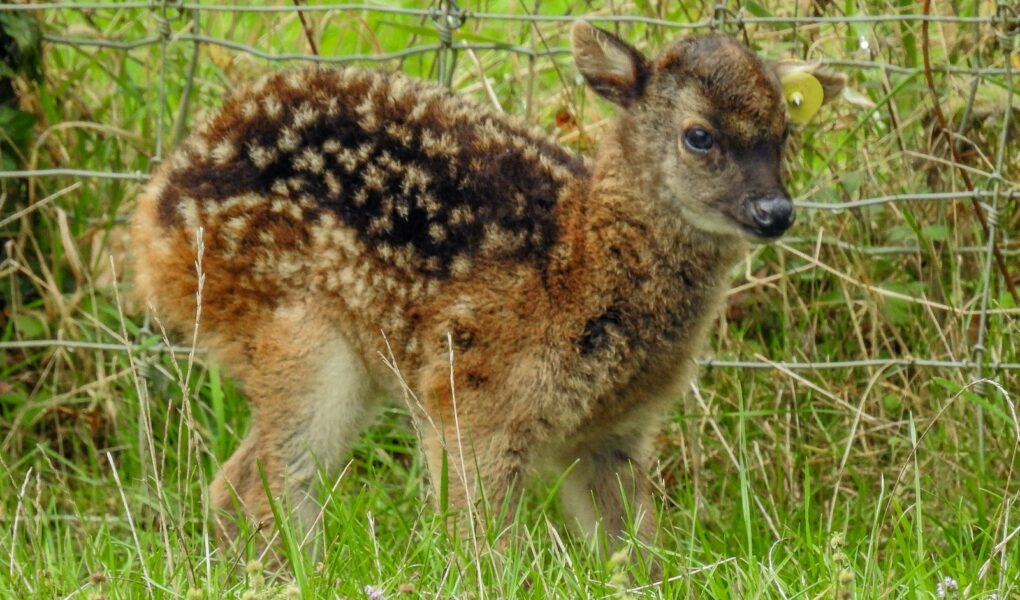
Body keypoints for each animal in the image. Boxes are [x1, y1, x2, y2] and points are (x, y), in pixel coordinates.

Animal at [131, 22, 840, 546]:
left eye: (784, 134)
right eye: (699, 136)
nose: (775, 212)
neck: (576, 260)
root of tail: (152, 217)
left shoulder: (615, 434)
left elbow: (632, 548)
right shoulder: (472, 399)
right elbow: (479, 541)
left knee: (234, 482)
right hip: (299, 332)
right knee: (268, 484)